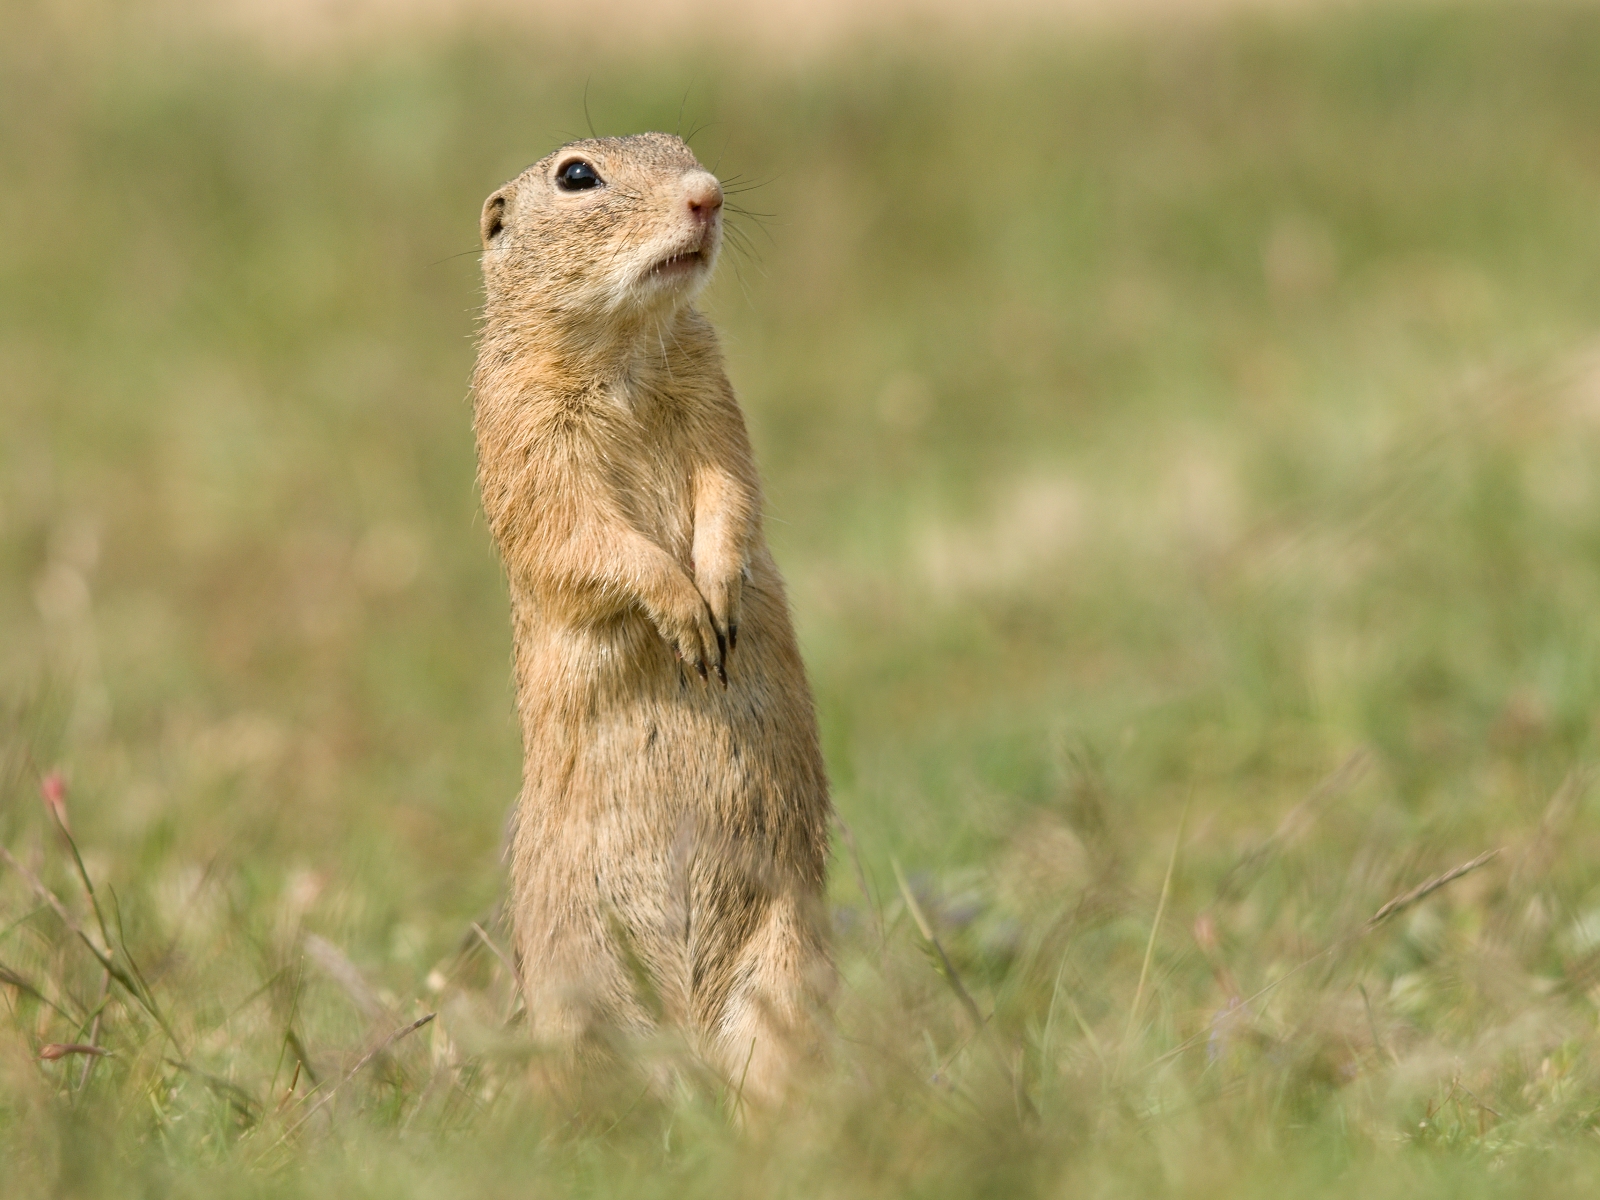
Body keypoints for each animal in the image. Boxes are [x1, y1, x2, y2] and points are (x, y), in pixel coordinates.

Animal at [472, 133, 832, 1103]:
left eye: (682, 147)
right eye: (577, 176)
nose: (708, 195)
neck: (626, 345)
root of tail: (690, 1040)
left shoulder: (713, 390)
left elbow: (729, 486)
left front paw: (719, 592)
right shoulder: (524, 432)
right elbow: (579, 534)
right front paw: (686, 615)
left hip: (785, 970)